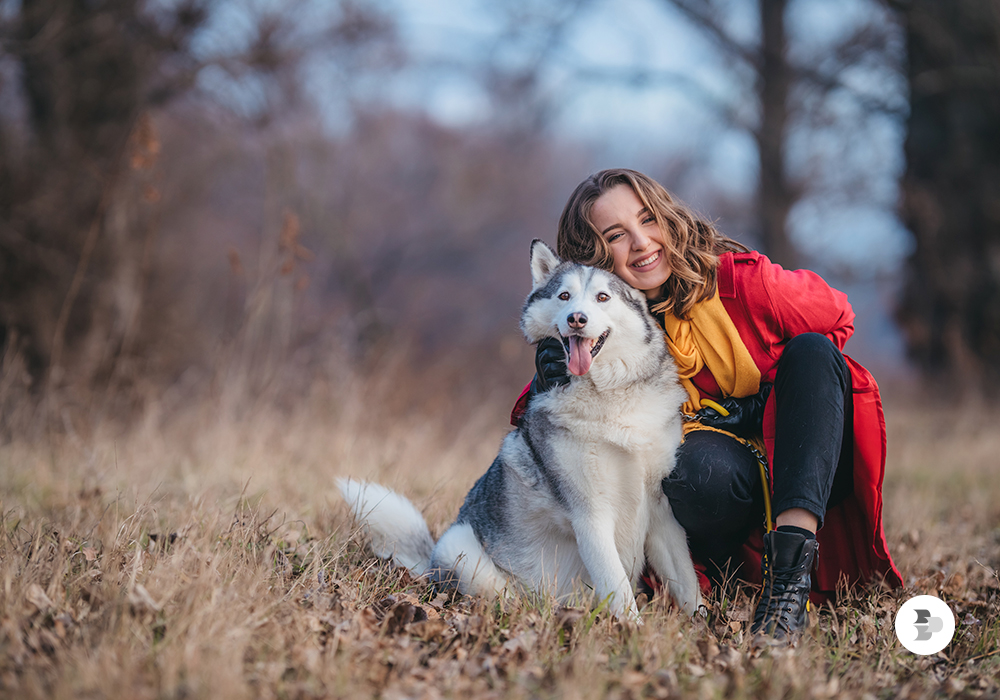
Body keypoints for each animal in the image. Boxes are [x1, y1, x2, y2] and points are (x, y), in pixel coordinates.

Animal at [340, 242, 700, 624]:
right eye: (564, 296)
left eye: (603, 297)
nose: (576, 318)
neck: (611, 400)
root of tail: (430, 564)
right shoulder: (591, 515)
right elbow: (618, 588)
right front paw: (630, 630)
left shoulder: (662, 512)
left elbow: (686, 580)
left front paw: (701, 623)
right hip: (463, 552)